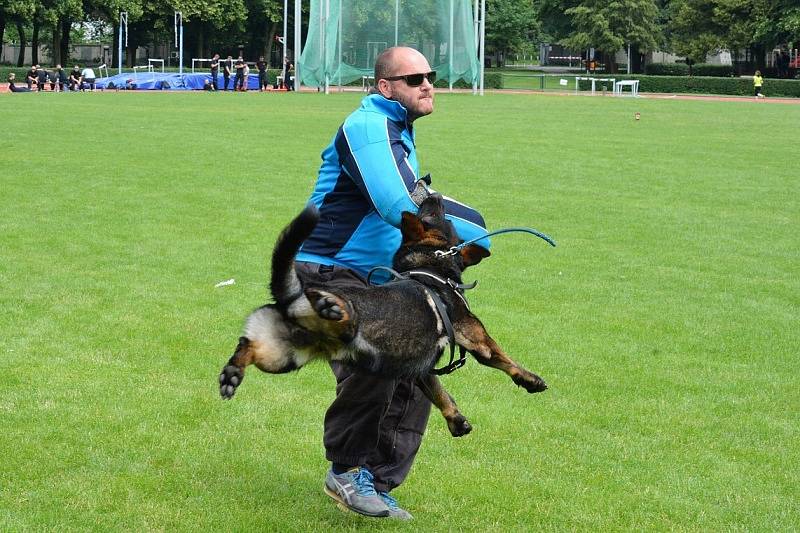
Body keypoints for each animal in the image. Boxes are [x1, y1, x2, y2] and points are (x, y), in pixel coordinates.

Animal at [217, 193, 544, 434]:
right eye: (441, 215)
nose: (434, 193)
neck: (429, 266)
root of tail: (293, 296)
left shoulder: (421, 371)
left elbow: (440, 392)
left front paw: (455, 419)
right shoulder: (475, 337)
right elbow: (502, 358)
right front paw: (529, 379)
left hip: (281, 356)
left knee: (247, 347)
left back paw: (232, 374)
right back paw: (329, 306)